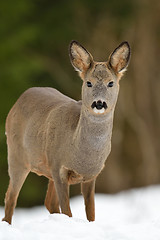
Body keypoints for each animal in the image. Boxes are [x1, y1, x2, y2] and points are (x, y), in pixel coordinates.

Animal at [2, 40, 130, 223]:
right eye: (88, 82)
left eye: (111, 82)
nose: (99, 103)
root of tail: (18, 100)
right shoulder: (59, 167)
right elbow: (68, 211)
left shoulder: (92, 175)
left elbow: (91, 214)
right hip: (16, 156)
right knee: (11, 197)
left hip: (45, 169)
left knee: (49, 203)